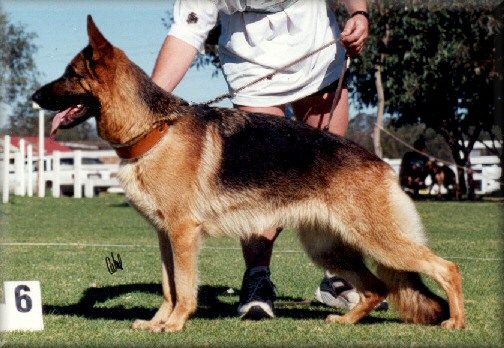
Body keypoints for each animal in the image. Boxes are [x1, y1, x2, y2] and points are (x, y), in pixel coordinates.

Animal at [31, 17, 464, 332]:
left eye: (69, 74)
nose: (33, 97)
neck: (154, 130)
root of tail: (381, 163)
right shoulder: (165, 237)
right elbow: (169, 287)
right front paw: (157, 322)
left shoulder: (183, 236)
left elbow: (184, 289)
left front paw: (175, 324)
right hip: (329, 248)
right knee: (376, 288)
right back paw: (345, 321)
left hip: (379, 241)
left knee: (447, 268)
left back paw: (456, 321)